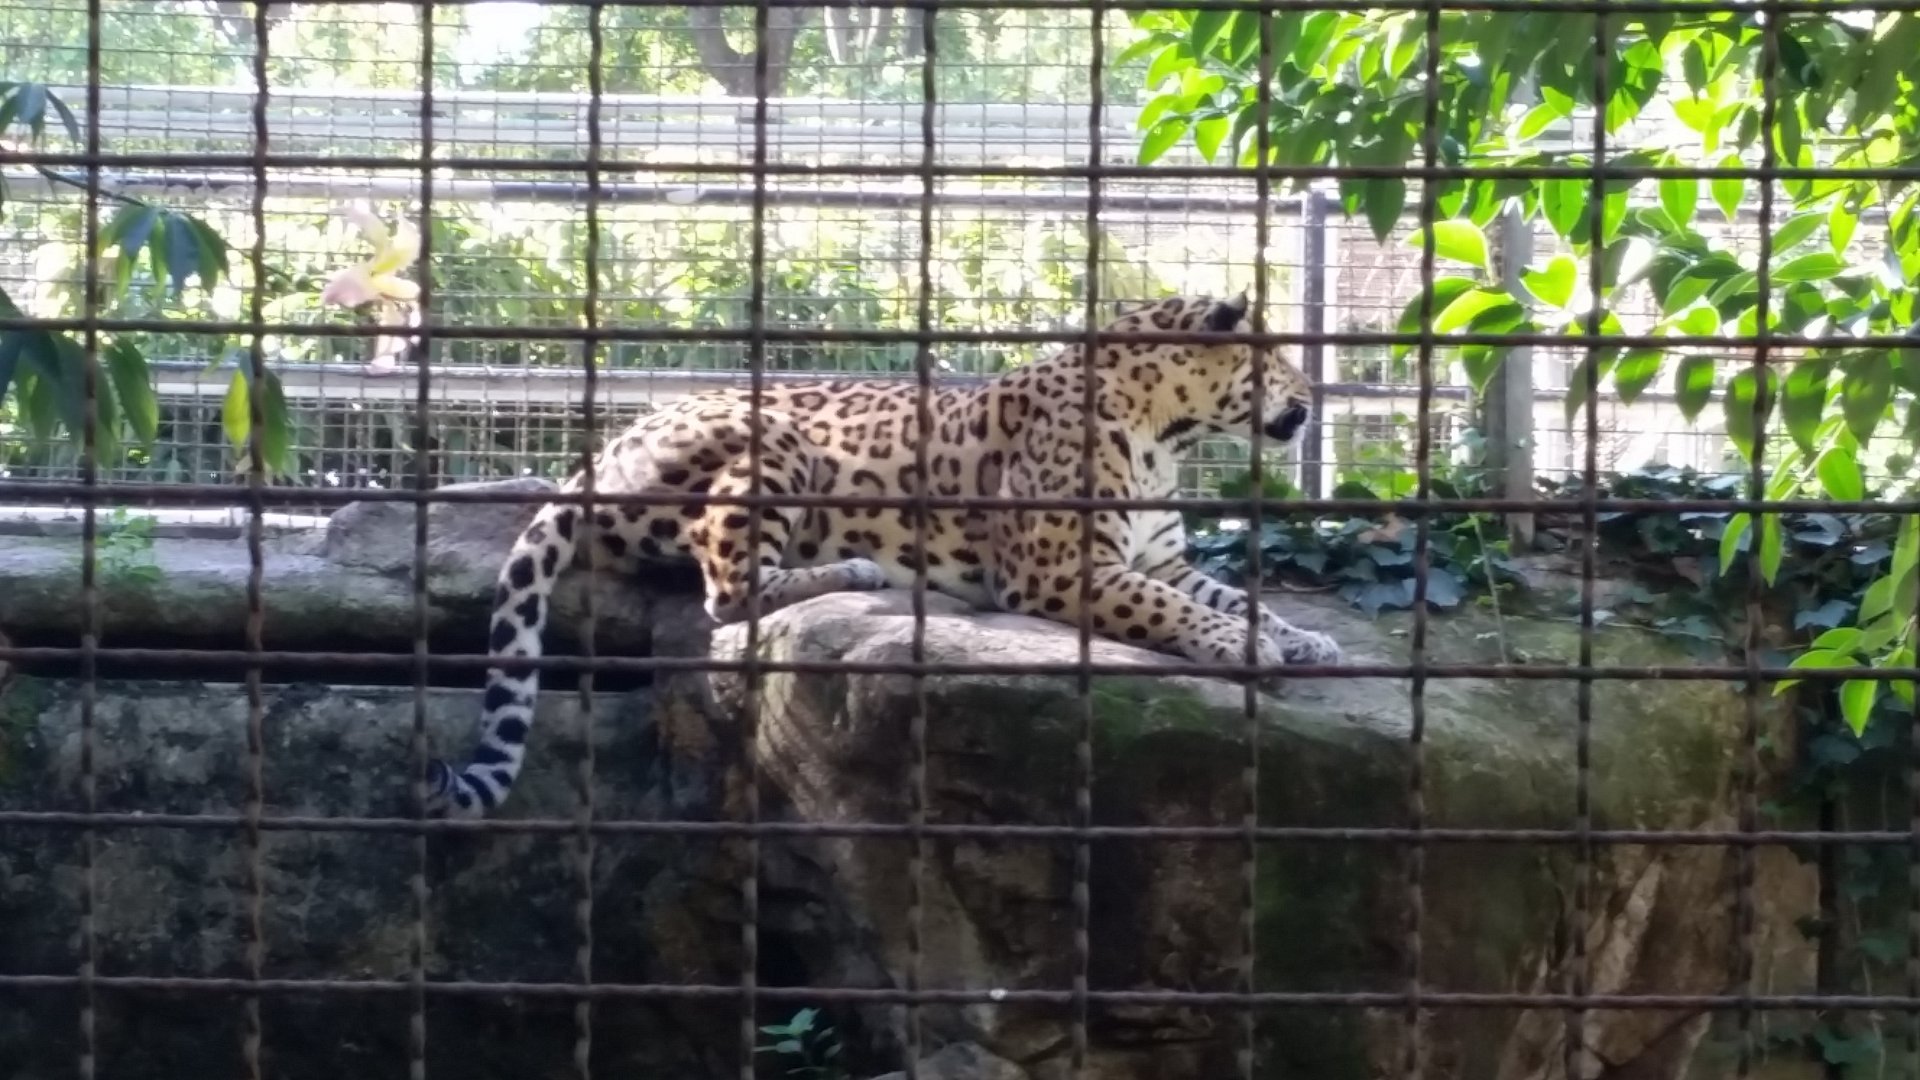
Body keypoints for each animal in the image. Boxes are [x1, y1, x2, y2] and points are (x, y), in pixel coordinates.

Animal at [424, 291, 1342, 818]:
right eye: (1276, 358)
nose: (1311, 396)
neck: (1167, 432)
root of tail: (601, 452)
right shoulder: (1063, 569)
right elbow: (1175, 611)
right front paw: (1241, 647)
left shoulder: (1157, 560)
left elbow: (1235, 595)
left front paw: (1304, 638)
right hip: (773, 438)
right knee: (727, 583)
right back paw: (856, 570)